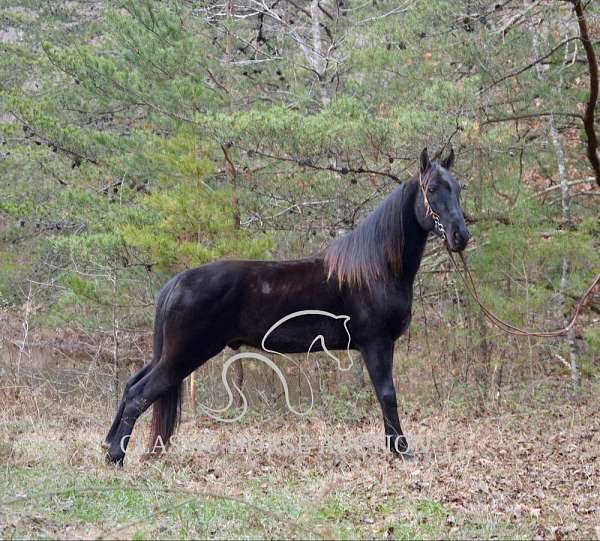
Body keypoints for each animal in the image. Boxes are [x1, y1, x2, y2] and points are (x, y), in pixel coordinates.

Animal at [102, 148, 468, 464]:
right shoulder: (376, 343)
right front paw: (403, 452)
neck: (375, 269)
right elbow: (388, 394)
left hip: (169, 354)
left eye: (458, 188)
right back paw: (116, 456)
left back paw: (109, 446)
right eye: (432, 189)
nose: (460, 236)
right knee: (139, 395)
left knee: (130, 385)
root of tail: (177, 282)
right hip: (183, 355)